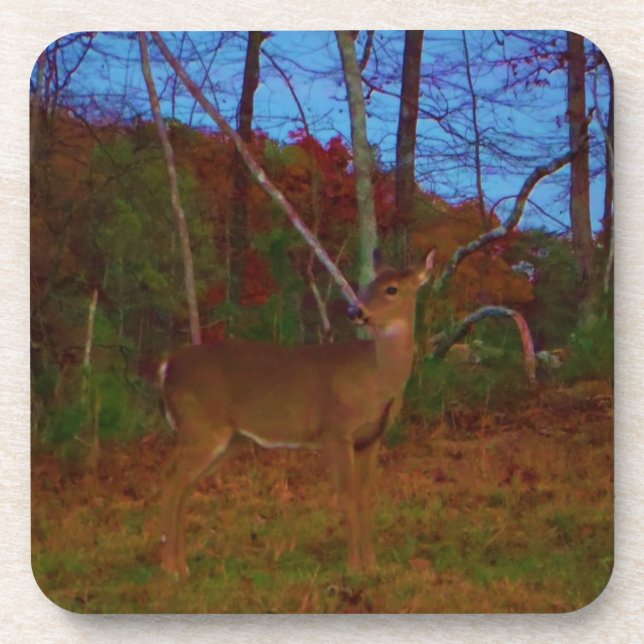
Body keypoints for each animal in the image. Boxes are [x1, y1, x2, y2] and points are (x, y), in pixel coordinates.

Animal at [158, 249, 435, 578]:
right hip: (201, 428)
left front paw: (373, 565)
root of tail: (167, 366)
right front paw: (354, 567)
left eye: (391, 289)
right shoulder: (335, 431)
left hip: (222, 438)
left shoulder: (371, 438)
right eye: (366, 286)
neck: (377, 377)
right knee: (172, 482)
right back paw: (171, 569)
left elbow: (366, 496)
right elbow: (347, 495)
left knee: (182, 484)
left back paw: (182, 565)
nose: (355, 310)